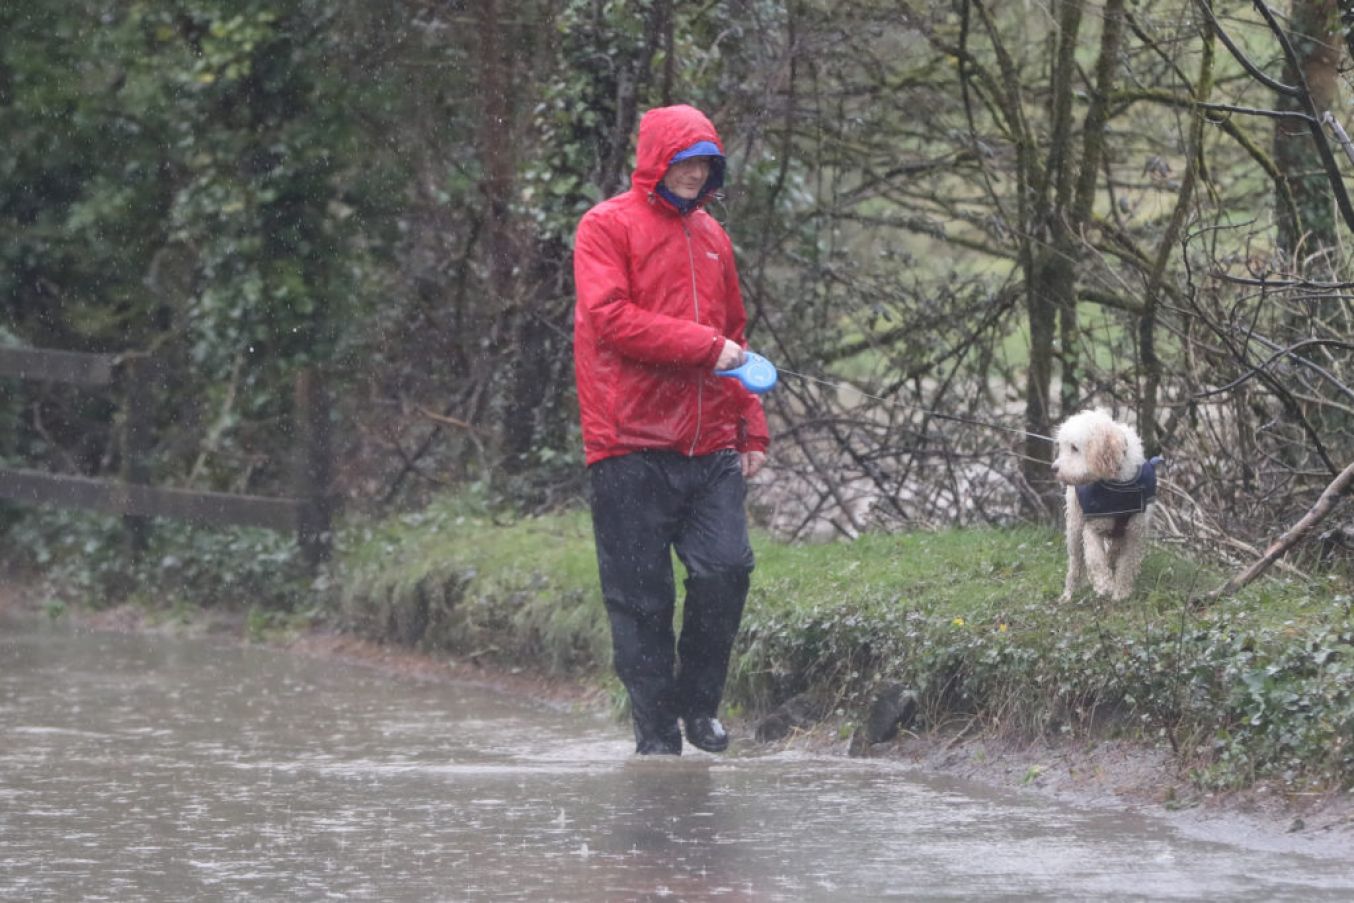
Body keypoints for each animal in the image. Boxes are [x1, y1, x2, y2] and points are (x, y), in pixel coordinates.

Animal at [1050, 408, 1159, 601]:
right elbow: (1095, 559)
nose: (1054, 469)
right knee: (1075, 563)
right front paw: (1103, 584)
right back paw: (1068, 594)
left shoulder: (1135, 532)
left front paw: (1121, 592)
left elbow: (1127, 563)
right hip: (1075, 526)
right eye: (1062, 446)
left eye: (1074, 448)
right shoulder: (1092, 527)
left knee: (1112, 553)